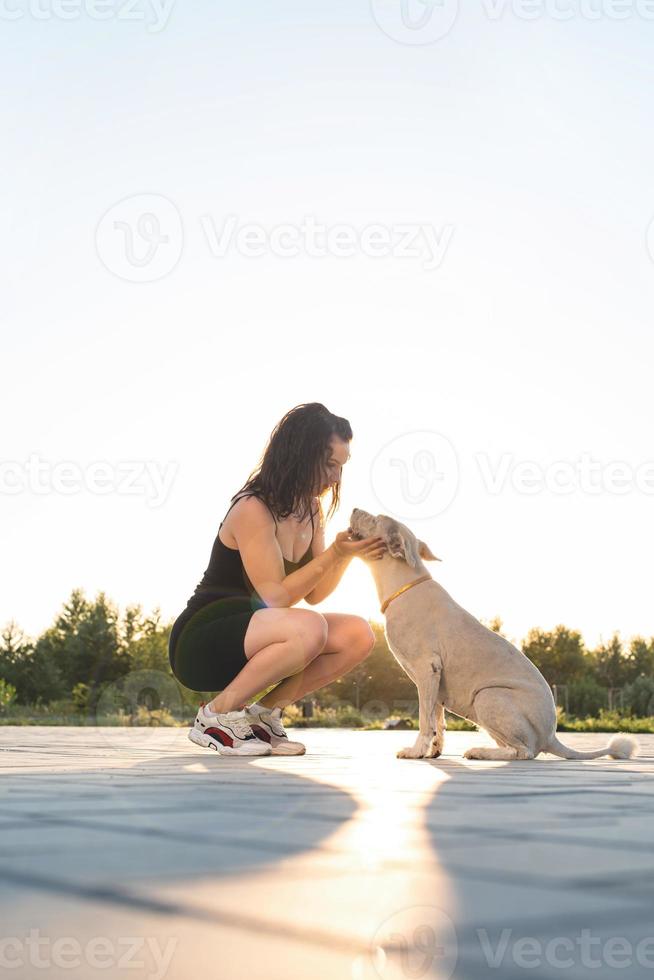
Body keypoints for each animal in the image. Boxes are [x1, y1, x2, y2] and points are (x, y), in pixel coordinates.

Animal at [352, 510, 640, 760]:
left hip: (488, 696)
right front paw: (433, 751)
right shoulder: (434, 679)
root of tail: (551, 737)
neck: (405, 585)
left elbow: (425, 719)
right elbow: (437, 720)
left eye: (375, 519)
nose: (354, 508)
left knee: (524, 751)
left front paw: (415, 751)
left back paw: (480, 752)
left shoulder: (426, 669)